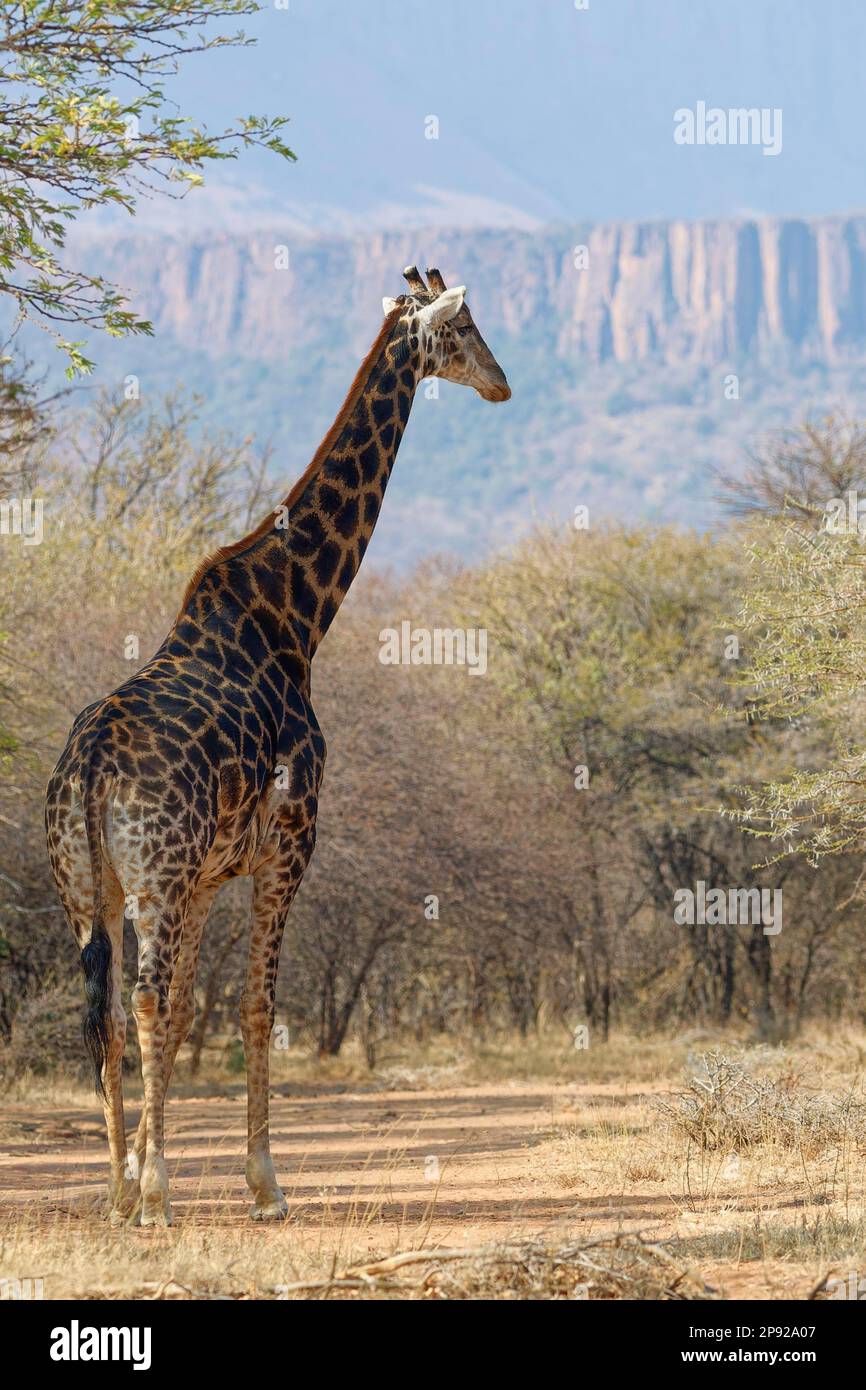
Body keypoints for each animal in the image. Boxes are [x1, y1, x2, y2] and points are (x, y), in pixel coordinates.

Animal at [44, 265, 511, 1223]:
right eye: (465, 328)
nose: (502, 384)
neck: (296, 616)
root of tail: (90, 768)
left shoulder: (210, 874)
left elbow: (193, 1010)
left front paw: (151, 1168)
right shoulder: (291, 841)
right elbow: (255, 1007)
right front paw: (264, 1185)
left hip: (89, 885)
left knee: (106, 1011)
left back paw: (116, 1192)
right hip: (153, 877)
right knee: (142, 1001)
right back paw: (155, 1198)